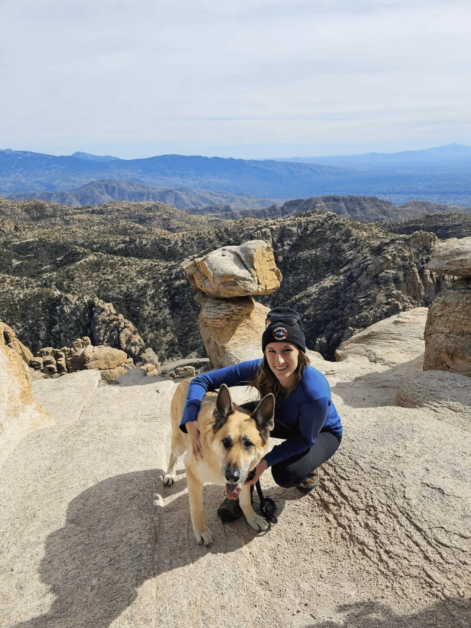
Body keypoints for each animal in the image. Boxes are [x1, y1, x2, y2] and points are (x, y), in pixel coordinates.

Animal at [165, 378, 276, 544]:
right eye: (226, 442)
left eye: (248, 444)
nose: (232, 476)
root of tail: (187, 379)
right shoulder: (194, 477)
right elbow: (197, 508)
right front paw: (201, 531)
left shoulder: (246, 477)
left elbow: (245, 501)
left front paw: (252, 518)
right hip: (179, 444)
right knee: (173, 454)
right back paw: (169, 475)